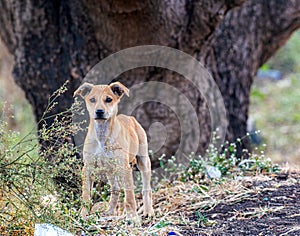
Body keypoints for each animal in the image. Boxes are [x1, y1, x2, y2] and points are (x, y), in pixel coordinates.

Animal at [73, 81, 154, 219]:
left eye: (109, 99)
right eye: (92, 99)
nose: (99, 111)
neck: (102, 135)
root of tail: (130, 118)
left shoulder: (125, 167)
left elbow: (130, 196)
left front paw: (132, 217)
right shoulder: (88, 167)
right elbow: (86, 193)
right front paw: (83, 214)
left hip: (143, 161)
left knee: (146, 189)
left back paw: (148, 211)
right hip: (109, 170)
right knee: (115, 188)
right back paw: (110, 211)